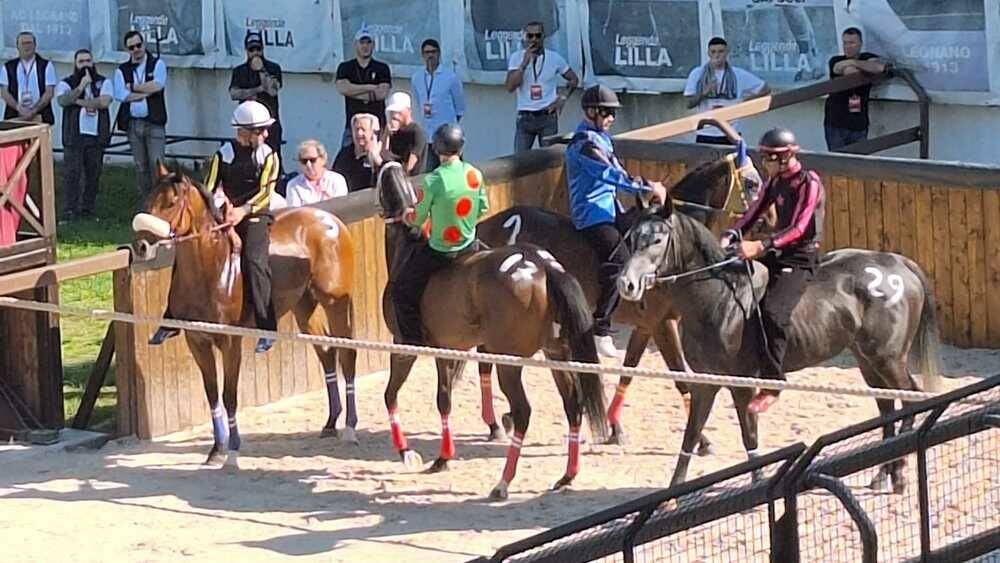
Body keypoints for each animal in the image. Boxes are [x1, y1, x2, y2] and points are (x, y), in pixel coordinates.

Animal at [132, 162, 360, 468]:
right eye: (149, 201)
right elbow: (212, 395)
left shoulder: (230, 342)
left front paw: (233, 451)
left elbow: (229, 396)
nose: (141, 247)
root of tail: (332, 220)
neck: (212, 270)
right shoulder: (197, 341)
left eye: (170, 203)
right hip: (305, 307)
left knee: (347, 355)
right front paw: (216, 449)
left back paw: (349, 427)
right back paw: (331, 422)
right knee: (326, 352)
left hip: (335, 303)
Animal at [376, 161, 604, 500]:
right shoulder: (449, 349)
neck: (409, 246)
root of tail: (542, 264)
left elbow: (393, 394)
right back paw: (567, 476)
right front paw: (443, 457)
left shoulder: (405, 346)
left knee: (522, 412)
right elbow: (444, 399)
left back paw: (503, 483)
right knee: (573, 405)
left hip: (510, 362)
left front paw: (407, 452)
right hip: (556, 353)